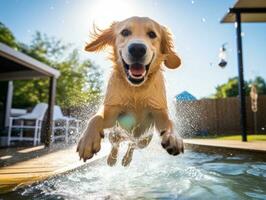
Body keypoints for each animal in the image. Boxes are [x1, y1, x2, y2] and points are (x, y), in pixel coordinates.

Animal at [78, 16, 184, 166]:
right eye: (125, 32)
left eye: (152, 34)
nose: (137, 49)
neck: (136, 89)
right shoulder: (112, 111)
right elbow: (96, 117)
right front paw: (87, 141)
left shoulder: (158, 111)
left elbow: (169, 121)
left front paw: (174, 137)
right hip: (114, 133)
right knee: (116, 144)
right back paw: (112, 159)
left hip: (144, 140)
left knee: (132, 145)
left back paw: (126, 160)